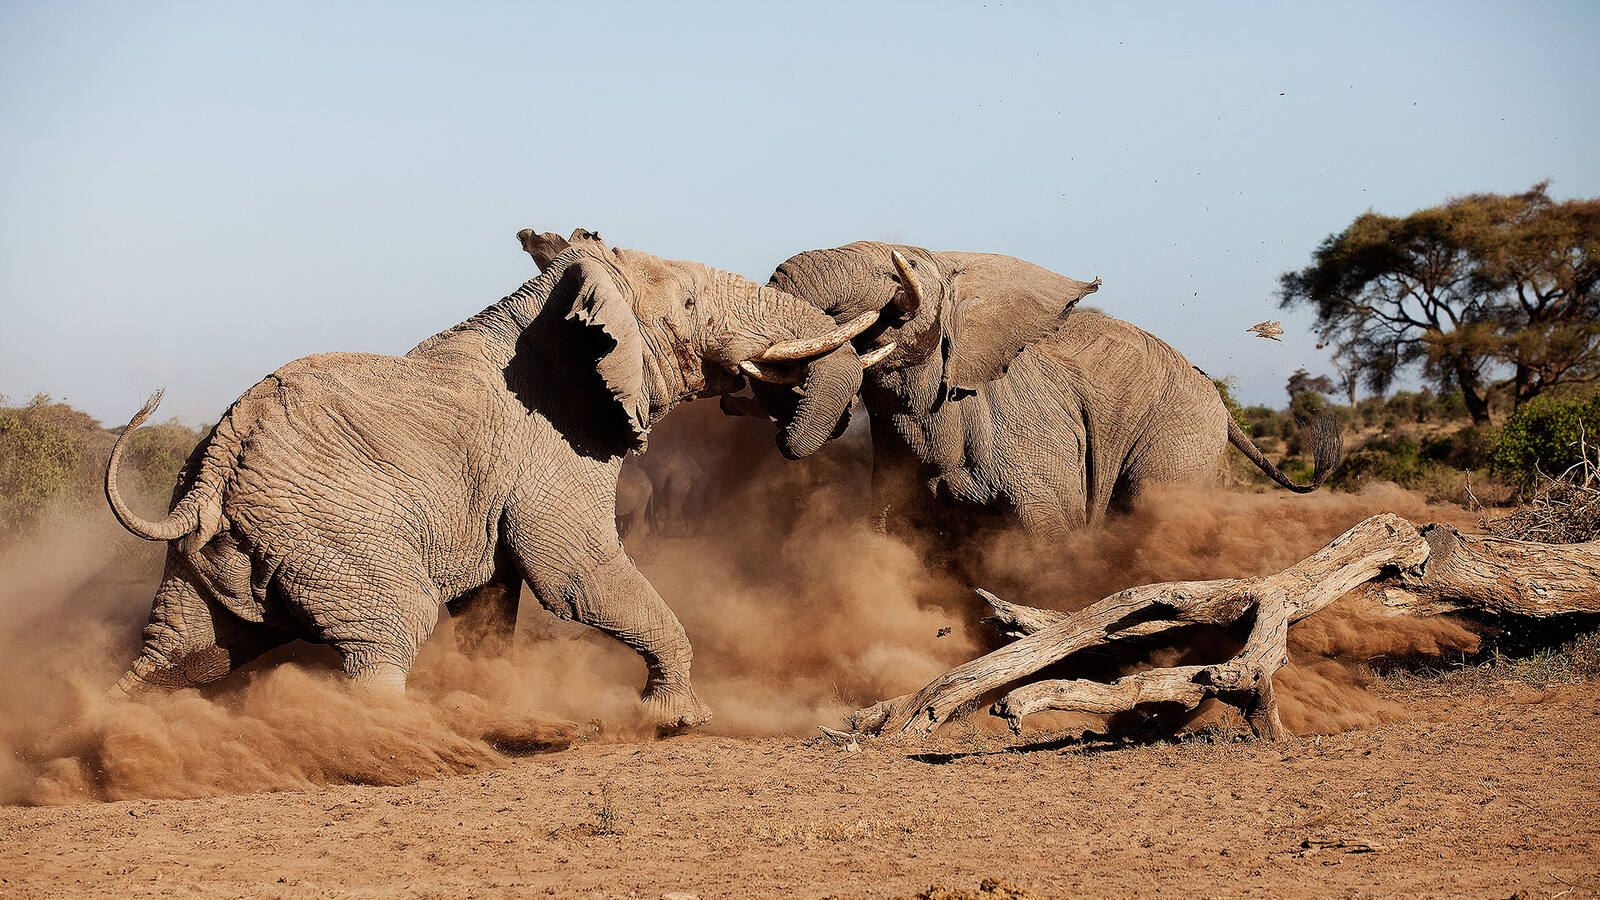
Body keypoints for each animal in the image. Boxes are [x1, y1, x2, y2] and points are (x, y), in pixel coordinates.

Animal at [103, 228, 880, 732]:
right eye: (689, 305)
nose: (779, 429)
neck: (555, 311)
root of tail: (218, 462)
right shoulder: (551, 450)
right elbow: (575, 575)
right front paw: (679, 719)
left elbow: (492, 600)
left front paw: (494, 692)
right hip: (336, 534)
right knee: (394, 629)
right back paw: (405, 738)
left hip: (214, 553)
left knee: (188, 652)